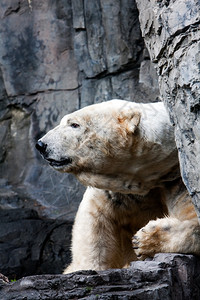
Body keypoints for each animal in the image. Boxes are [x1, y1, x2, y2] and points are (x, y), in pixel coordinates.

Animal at [35, 99, 200, 274]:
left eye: (74, 124)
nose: (41, 144)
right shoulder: (120, 190)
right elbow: (94, 223)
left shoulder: (176, 180)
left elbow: (192, 217)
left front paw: (144, 239)